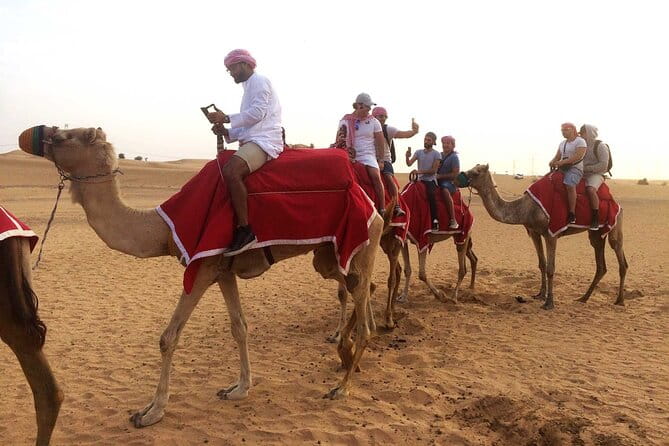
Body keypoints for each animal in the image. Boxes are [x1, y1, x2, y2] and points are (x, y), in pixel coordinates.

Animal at [19, 126, 383, 428]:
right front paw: (239, 388)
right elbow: (240, 327)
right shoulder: (222, 271)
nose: (29, 135)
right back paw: (350, 354)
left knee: (364, 309)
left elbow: (168, 338)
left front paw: (151, 412)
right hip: (329, 255)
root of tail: (373, 205)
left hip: (358, 240)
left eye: (64, 136)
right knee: (362, 287)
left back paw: (342, 386)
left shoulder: (201, 268)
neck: (163, 229)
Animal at [462, 164, 628, 309]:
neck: (526, 208)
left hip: (615, 224)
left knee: (620, 257)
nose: (460, 177)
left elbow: (550, 268)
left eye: (476, 172)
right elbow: (542, 263)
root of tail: (616, 203)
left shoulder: (551, 234)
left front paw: (549, 303)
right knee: (601, 265)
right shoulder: (534, 232)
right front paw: (540, 295)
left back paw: (619, 301)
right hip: (596, 233)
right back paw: (583, 298)